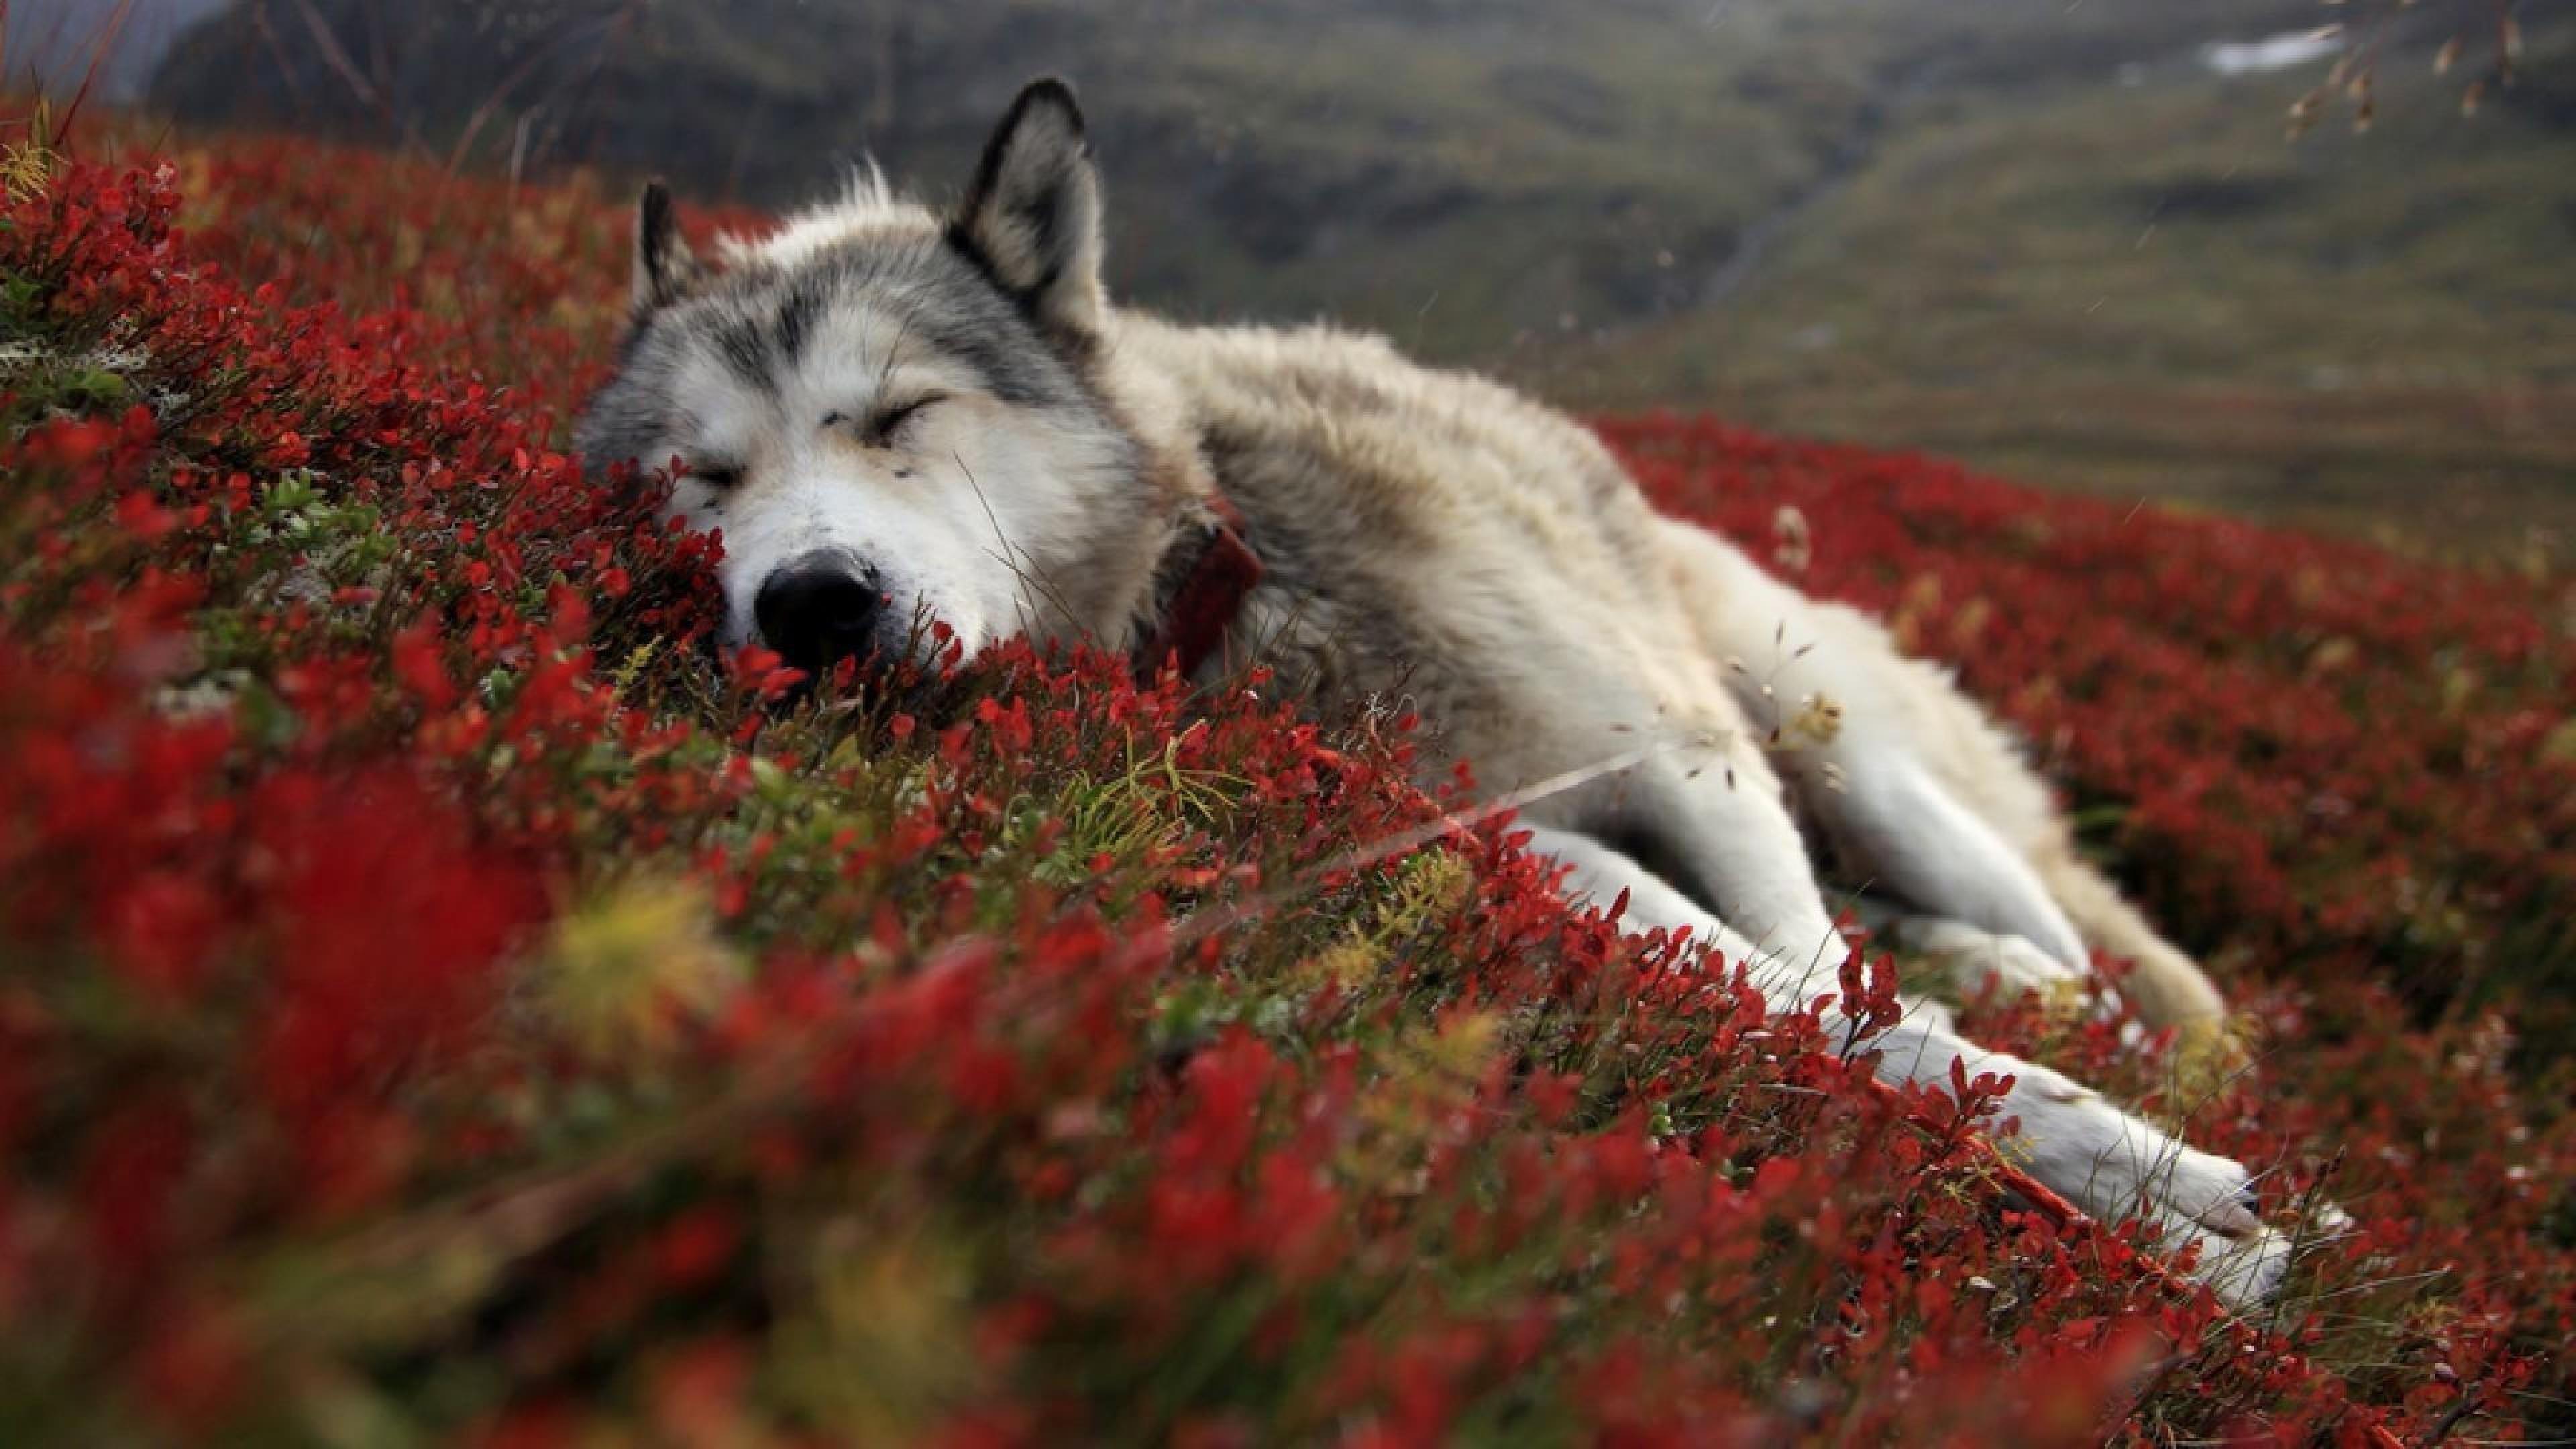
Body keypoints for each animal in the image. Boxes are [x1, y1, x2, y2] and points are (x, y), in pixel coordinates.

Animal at [577, 78, 2296, 1306]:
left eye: (899, 416)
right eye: (702, 477)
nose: (810, 604)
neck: (1241, 576)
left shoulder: (1689, 763)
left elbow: (1826, 985)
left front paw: (2155, 1187)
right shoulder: (1525, 845)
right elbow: (1816, 1013)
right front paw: (2151, 1216)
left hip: (1836, 744)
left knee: (2093, 952)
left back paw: (2093, 1010)